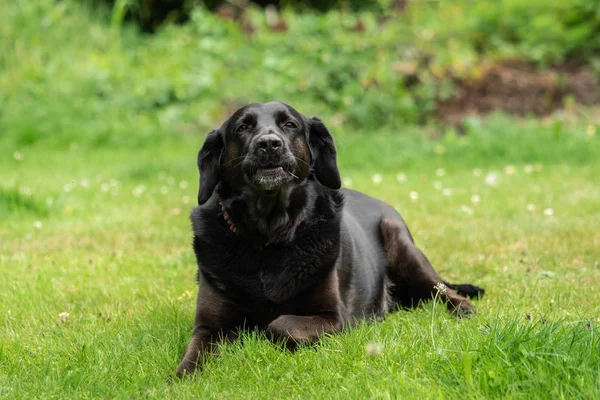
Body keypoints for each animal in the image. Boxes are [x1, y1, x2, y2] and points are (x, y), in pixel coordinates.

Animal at [176, 101, 486, 376]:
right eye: (242, 127)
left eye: (290, 124)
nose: (269, 144)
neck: (268, 238)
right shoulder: (208, 327)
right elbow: (193, 355)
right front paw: (181, 377)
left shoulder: (335, 319)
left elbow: (279, 325)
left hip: (404, 247)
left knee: (443, 290)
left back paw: (463, 309)